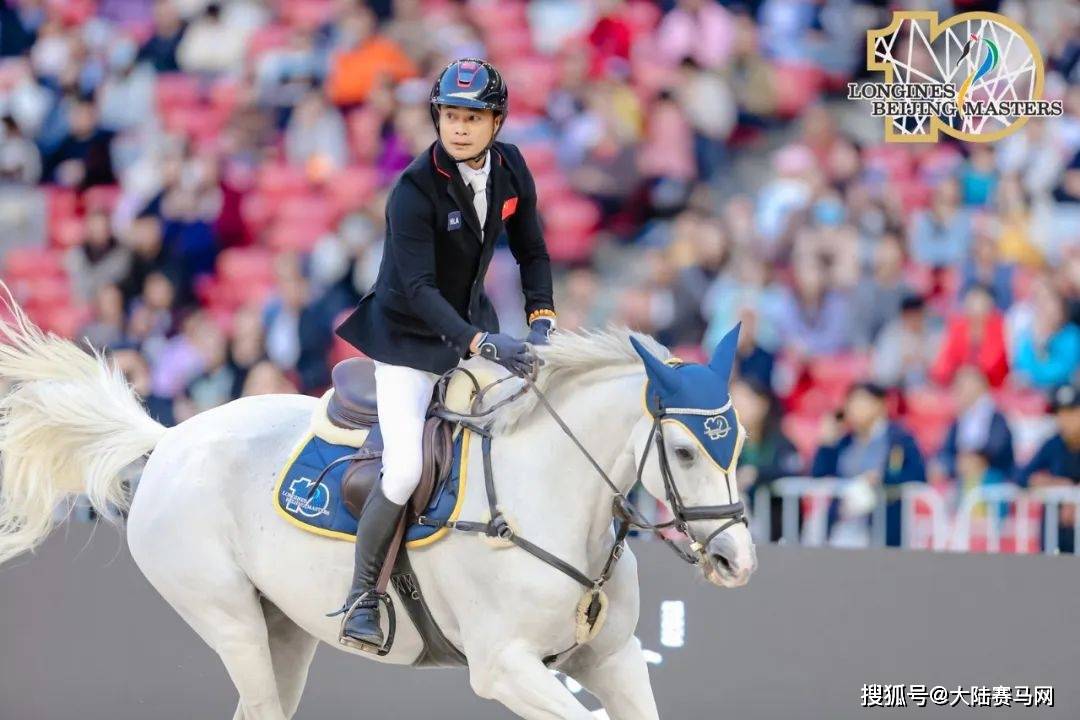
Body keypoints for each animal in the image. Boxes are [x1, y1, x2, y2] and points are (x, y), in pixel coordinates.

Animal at [0, 293, 760, 720]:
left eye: (742, 440)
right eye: (685, 451)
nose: (737, 560)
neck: (554, 500)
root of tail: (169, 440)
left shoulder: (613, 660)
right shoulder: (504, 667)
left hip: (284, 632)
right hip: (229, 620)